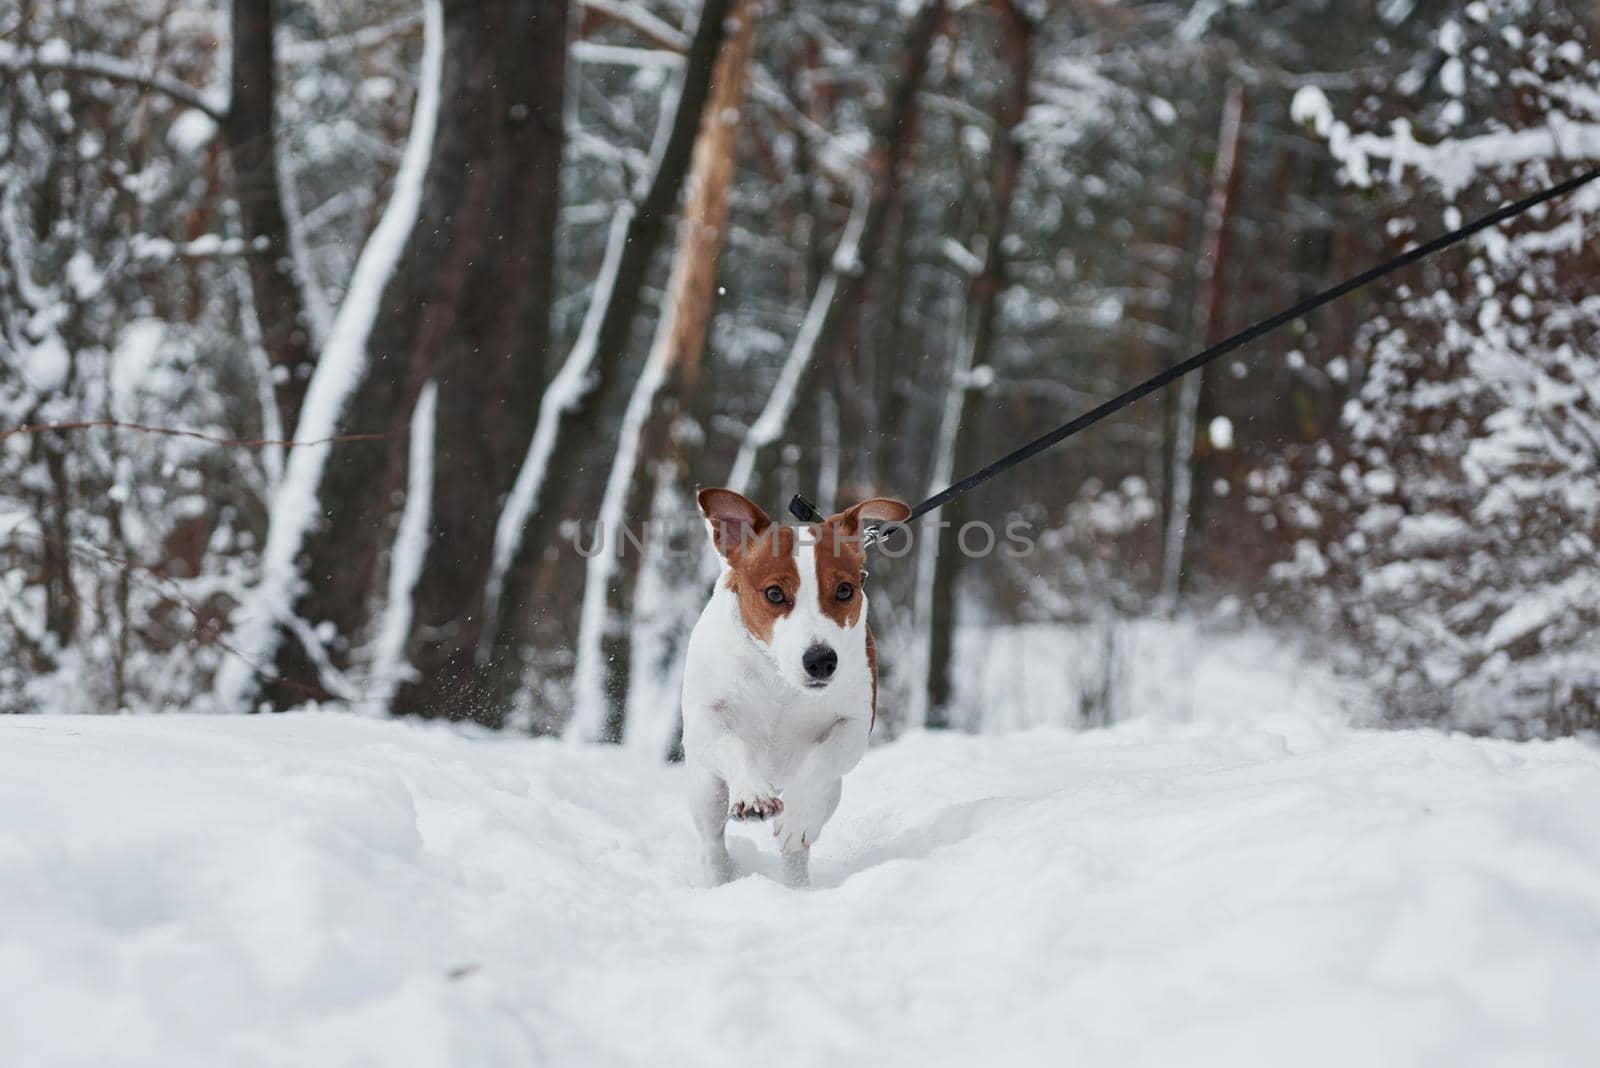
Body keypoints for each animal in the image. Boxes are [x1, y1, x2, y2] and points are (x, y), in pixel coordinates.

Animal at [684, 489, 915, 888]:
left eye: (845, 590)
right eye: (775, 593)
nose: (821, 660)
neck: (780, 679)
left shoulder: (854, 724)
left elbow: (821, 761)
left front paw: (796, 819)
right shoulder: (704, 720)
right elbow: (733, 744)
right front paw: (754, 794)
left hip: (833, 795)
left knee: (801, 844)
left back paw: (797, 885)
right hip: (706, 789)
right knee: (713, 841)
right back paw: (722, 879)